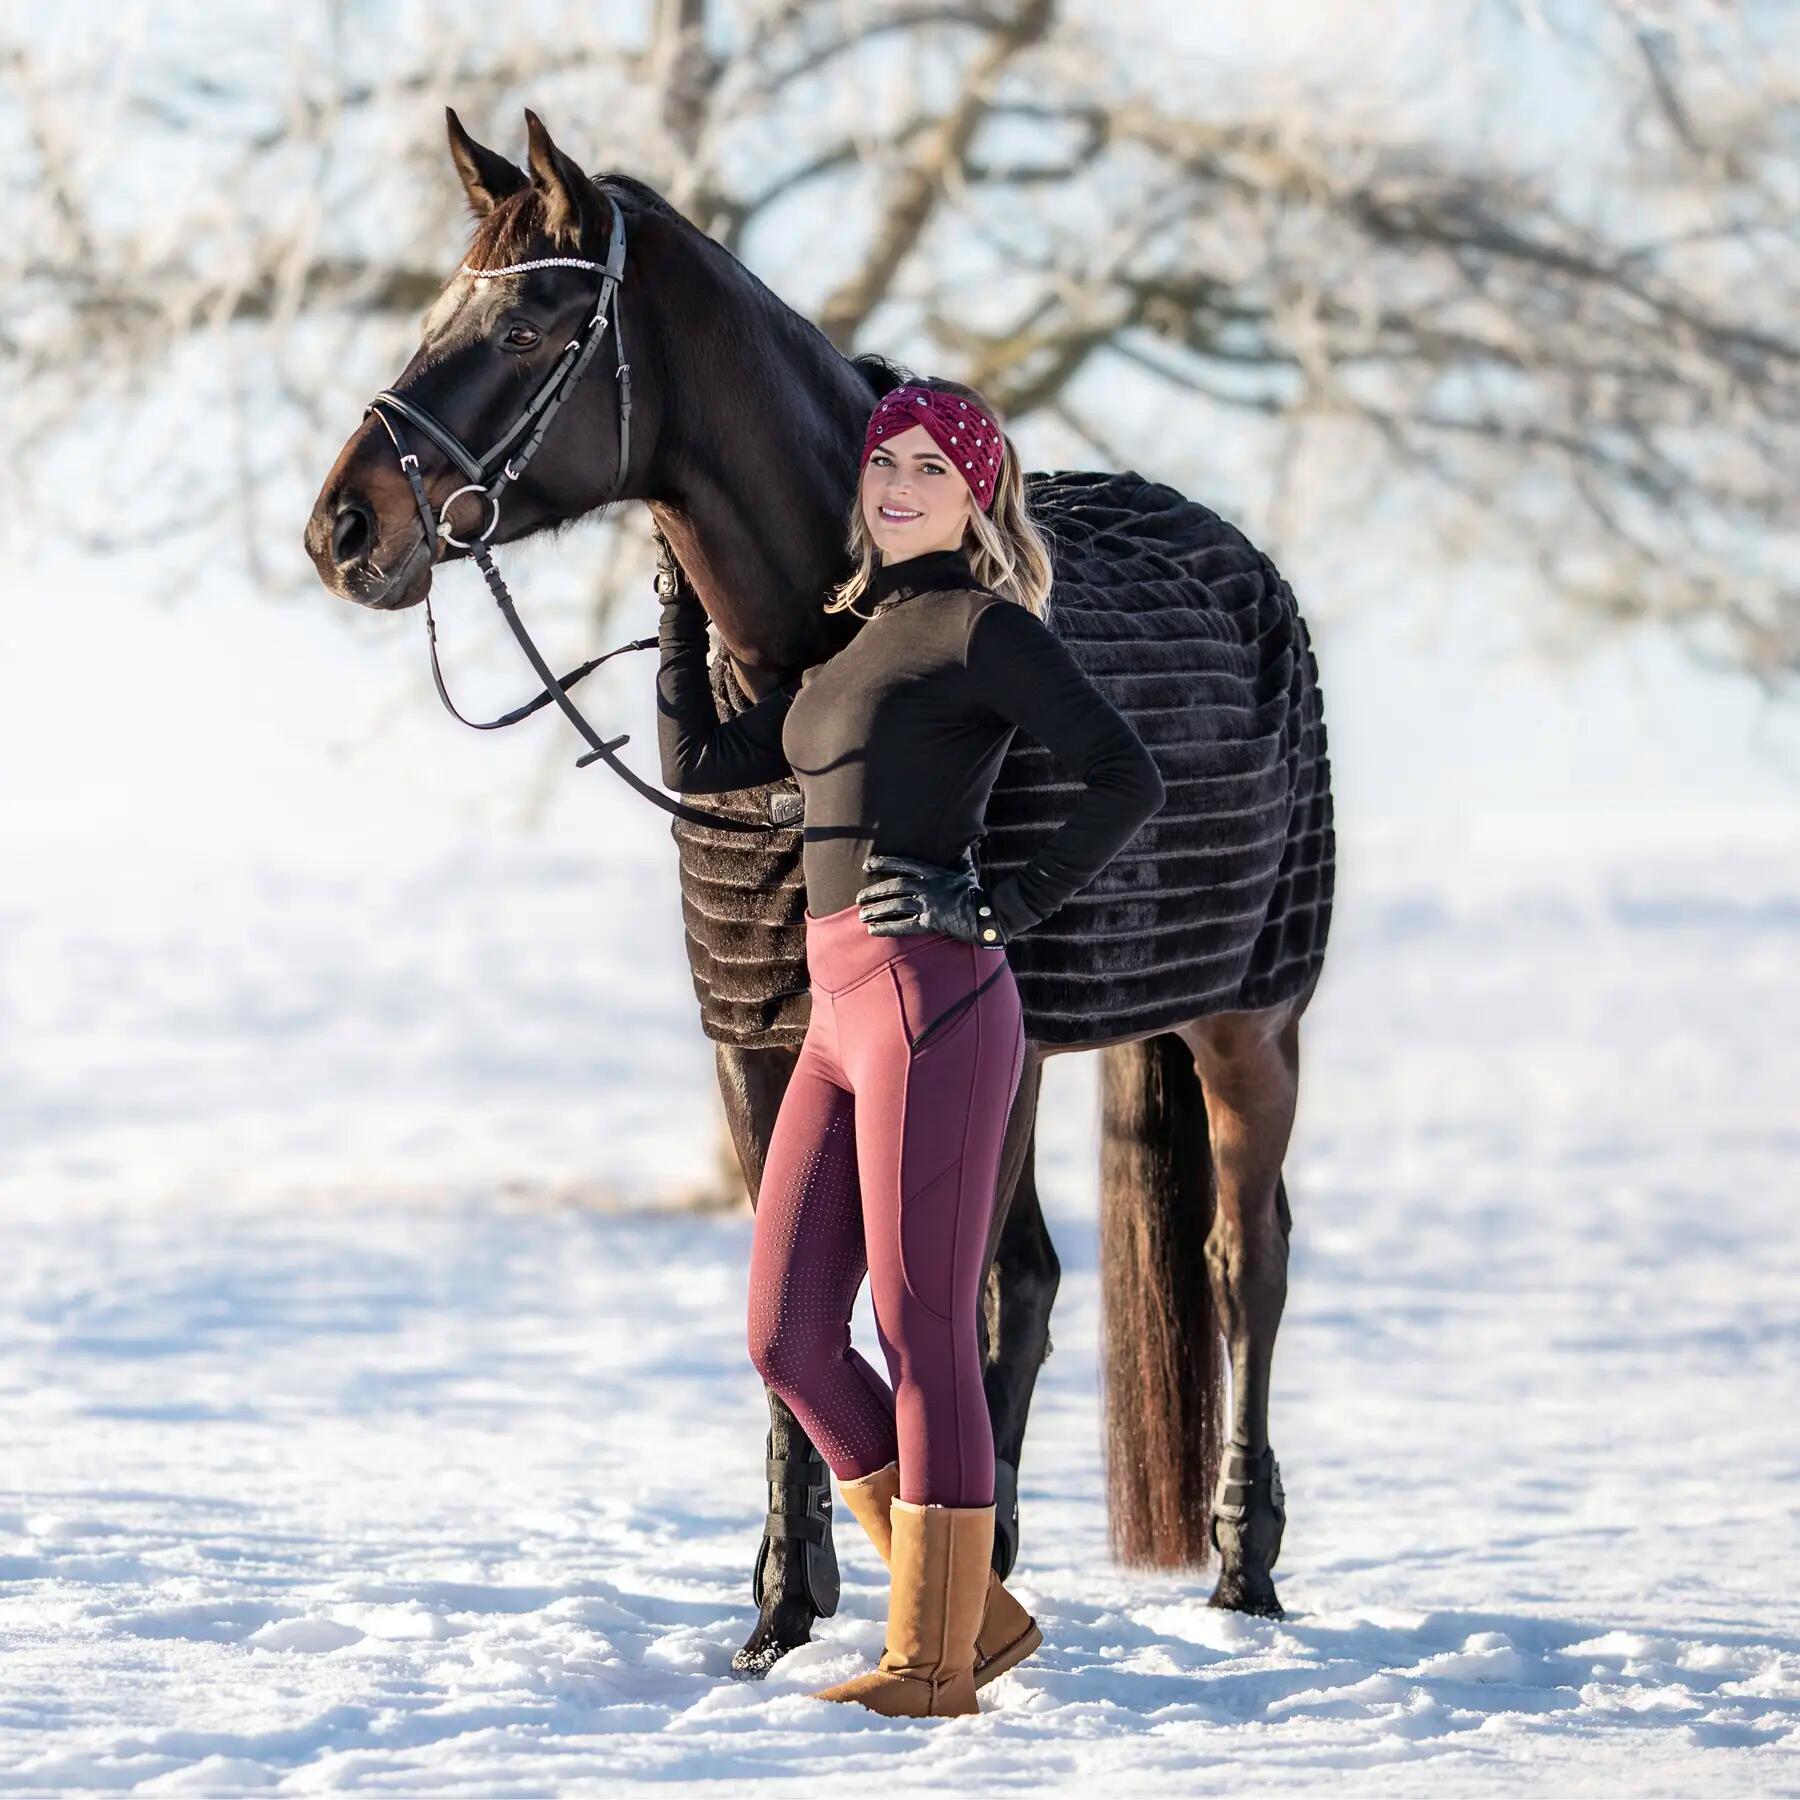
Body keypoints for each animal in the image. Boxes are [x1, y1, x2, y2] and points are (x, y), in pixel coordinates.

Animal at [303, 108, 1333, 1676]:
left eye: (530, 323)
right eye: (436, 311)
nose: (343, 530)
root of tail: (1245, 561)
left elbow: (943, 1300)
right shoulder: (756, 1037)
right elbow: (799, 1293)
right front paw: (784, 1606)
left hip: (1246, 1022)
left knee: (1235, 1263)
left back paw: (1238, 1572)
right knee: (1037, 1278)